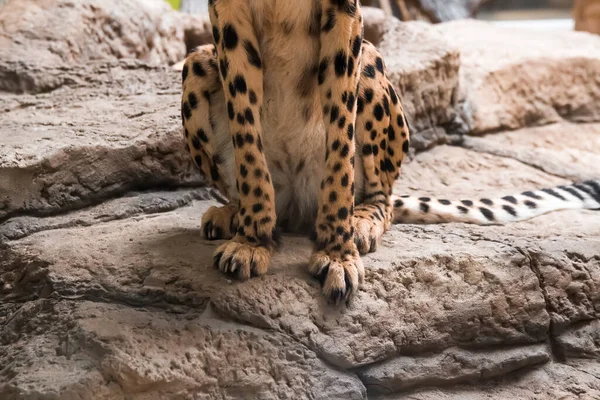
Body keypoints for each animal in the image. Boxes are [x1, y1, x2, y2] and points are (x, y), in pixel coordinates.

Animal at [183, 0, 600, 304]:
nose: (249, 228)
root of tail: (296, 205)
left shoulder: (344, 15)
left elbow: (340, 146)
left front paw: (338, 254)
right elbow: (247, 139)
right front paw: (252, 240)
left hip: (370, 59)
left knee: (380, 196)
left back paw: (361, 221)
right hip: (197, 61)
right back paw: (233, 213)